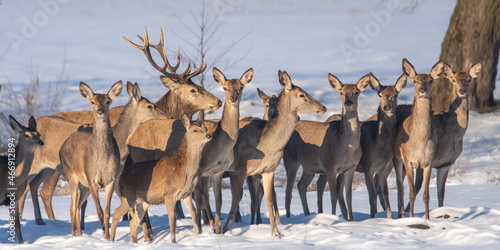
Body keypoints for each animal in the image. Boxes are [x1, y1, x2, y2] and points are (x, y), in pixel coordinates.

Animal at [0, 115, 43, 244]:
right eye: (27, 135)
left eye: (38, 134)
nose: (41, 142)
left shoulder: (16, 198)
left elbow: (17, 225)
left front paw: (22, 244)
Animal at [59, 81, 122, 239]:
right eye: (92, 102)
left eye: (108, 101)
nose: (100, 111)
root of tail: (63, 145)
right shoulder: (92, 179)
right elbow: (99, 211)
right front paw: (104, 236)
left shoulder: (111, 179)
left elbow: (107, 212)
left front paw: (108, 238)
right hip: (71, 176)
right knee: (72, 208)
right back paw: (74, 235)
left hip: (84, 185)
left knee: (77, 205)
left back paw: (79, 234)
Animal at [224, 70, 326, 236]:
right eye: (302, 94)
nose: (323, 107)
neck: (266, 144)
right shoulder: (240, 170)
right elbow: (237, 200)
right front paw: (226, 229)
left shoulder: (268, 170)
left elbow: (269, 199)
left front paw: (276, 233)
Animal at [284, 73, 374, 221]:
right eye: (341, 92)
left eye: (356, 92)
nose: (348, 102)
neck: (346, 147)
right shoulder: (330, 166)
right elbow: (333, 195)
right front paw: (333, 217)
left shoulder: (350, 167)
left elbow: (349, 196)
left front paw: (351, 219)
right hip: (290, 159)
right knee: (288, 190)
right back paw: (288, 217)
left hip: (309, 166)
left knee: (301, 185)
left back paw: (307, 214)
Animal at [392, 58, 444, 219]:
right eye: (414, 81)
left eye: (430, 80)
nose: (422, 89)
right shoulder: (408, 160)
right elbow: (410, 193)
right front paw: (411, 217)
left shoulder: (428, 162)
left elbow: (425, 194)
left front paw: (427, 219)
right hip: (397, 159)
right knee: (400, 188)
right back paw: (401, 215)